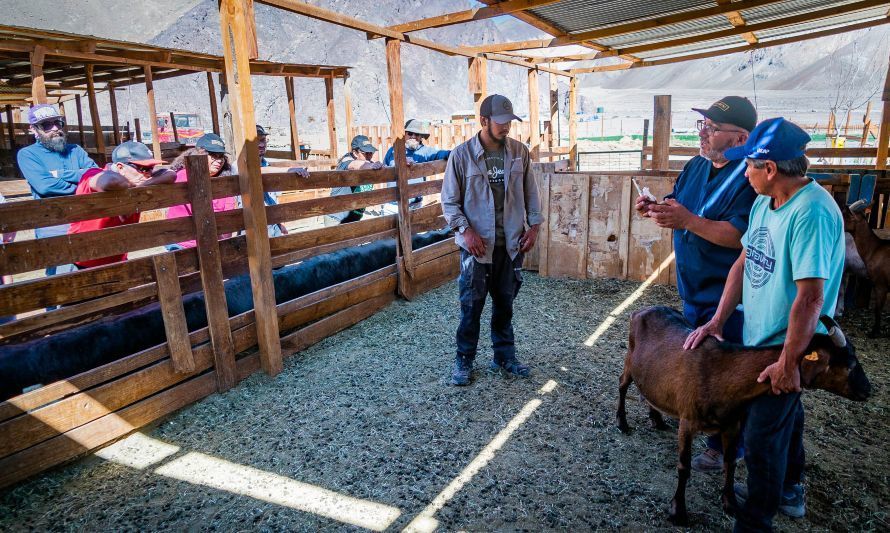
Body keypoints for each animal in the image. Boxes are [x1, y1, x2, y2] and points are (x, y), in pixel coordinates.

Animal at [612, 306, 872, 524]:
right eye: (849, 363)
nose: (868, 390)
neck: (721, 373)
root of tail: (640, 311)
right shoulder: (687, 422)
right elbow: (684, 466)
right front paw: (678, 511)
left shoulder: (732, 425)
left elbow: (730, 463)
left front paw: (731, 504)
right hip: (629, 360)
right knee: (623, 384)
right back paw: (622, 422)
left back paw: (656, 419)